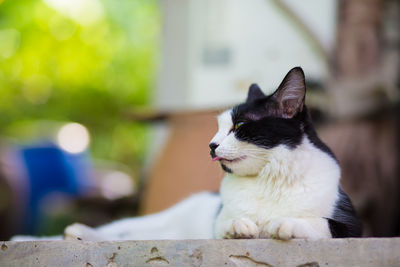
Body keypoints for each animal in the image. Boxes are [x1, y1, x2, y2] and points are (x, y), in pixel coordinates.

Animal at [11, 67, 362, 243]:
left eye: (239, 126)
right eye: (218, 127)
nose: (211, 145)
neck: (268, 178)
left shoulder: (353, 228)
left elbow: (321, 224)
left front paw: (283, 223)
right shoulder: (217, 223)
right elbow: (226, 222)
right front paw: (243, 226)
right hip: (149, 222)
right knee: (117, 231)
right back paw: (72, 234)